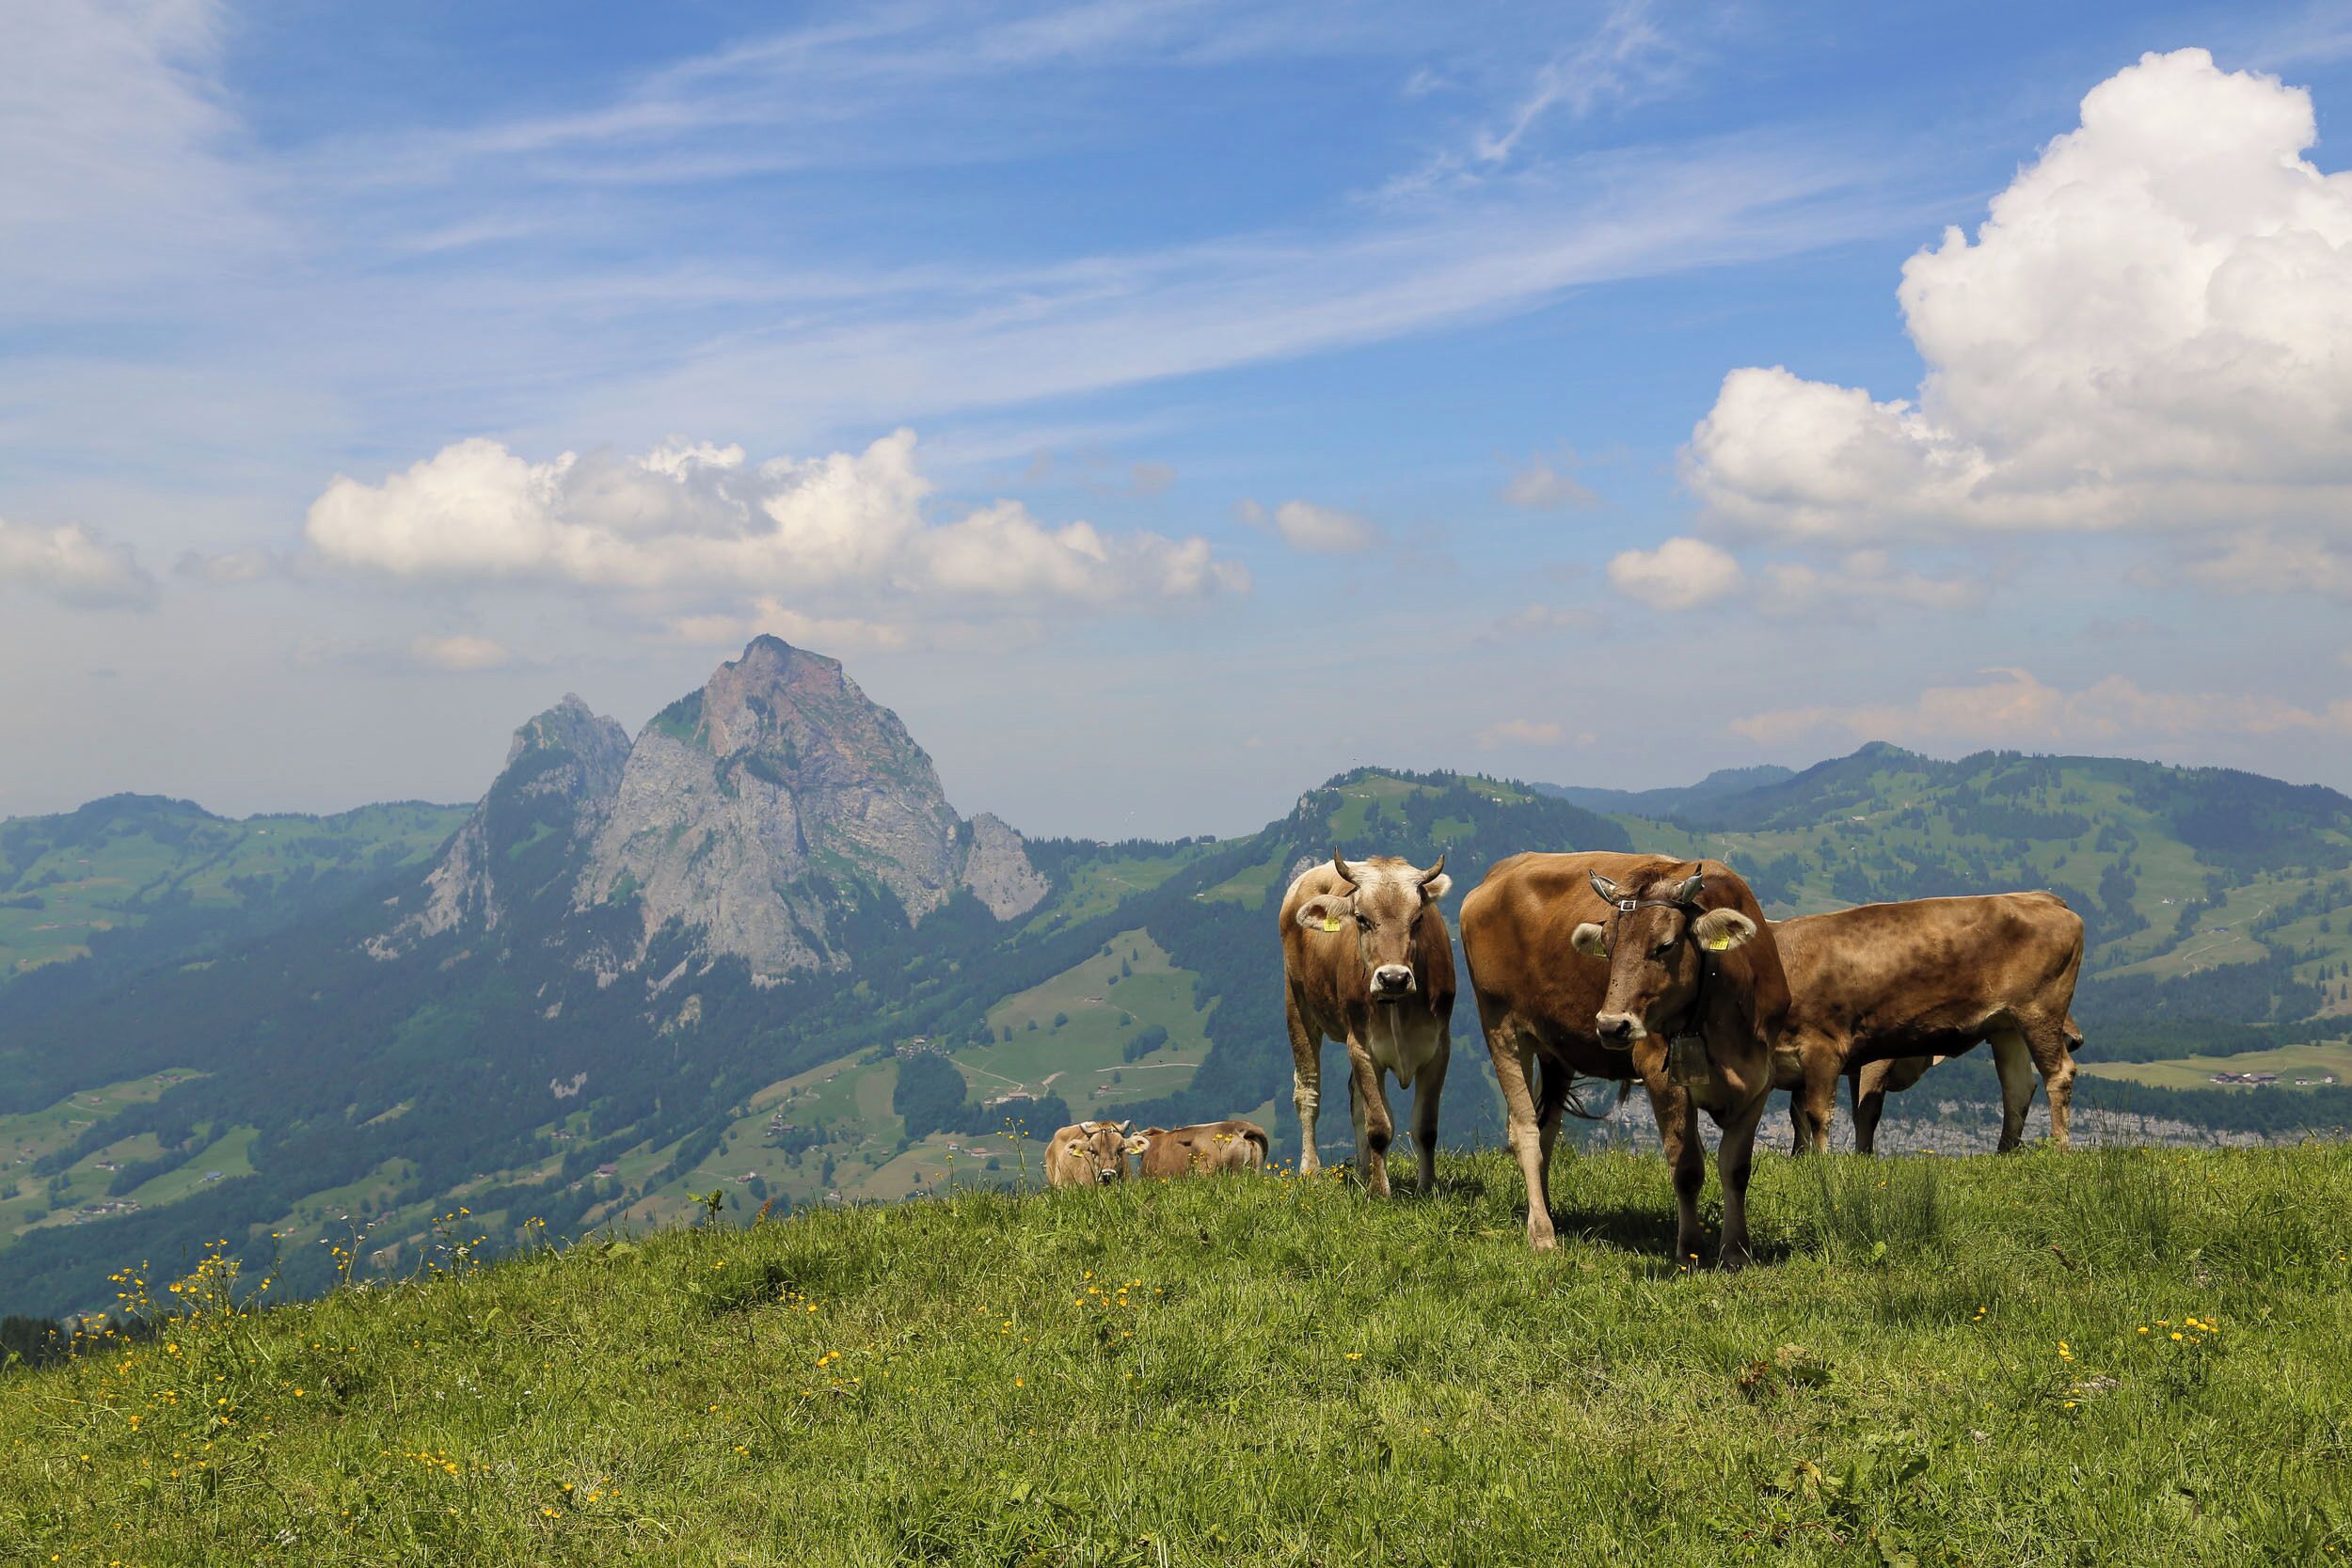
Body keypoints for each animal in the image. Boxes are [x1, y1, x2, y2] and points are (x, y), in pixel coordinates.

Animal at [1279, 852, 1455, 1196]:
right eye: (1361, 919)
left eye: (1417, 919)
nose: (1394, 978)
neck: (1399, 1006)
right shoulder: (1361, 1047)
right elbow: (1379, 1125)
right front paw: (1379, 1191)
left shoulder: (1439, 1048)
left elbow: (1425, 1127)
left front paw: (1426, 1188)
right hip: (1297, 1003)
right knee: (1307, 1090)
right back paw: (1311, 1170)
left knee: (1355, 1098)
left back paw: (1362, 1170)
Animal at [1460, 851, 1693, 1251]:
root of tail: (1500, 873)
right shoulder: (1660, 1065)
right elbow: (1685, 1157)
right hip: (1501, 1026)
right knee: (1524, 1129)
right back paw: (1542, 1232)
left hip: (1556, 1047)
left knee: (1546, 1129)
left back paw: (1547, 1211)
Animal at [1569, 858, 1791, 1268]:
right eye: (1607, 946)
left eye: (1665, 946)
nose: (1611, 1025)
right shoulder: (1662, 1078)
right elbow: (1686, 1168)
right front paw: (1690, 1250)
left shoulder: (1760, 1083)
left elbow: (1736, 1168)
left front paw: (1736, 1251)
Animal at [1769, 893, 2086, 1154]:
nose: (2077, 1038)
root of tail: (2040, 898)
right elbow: (1800, 1117)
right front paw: (1800, 1159)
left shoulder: (1829, 1049)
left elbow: (1838, 1112)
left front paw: (1833, 1162)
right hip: (2007, 1027)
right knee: (2017, 1087)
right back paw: (2004, 1154)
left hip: (2039, 1012)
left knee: (2058, 1074)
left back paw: (2059, 1148)